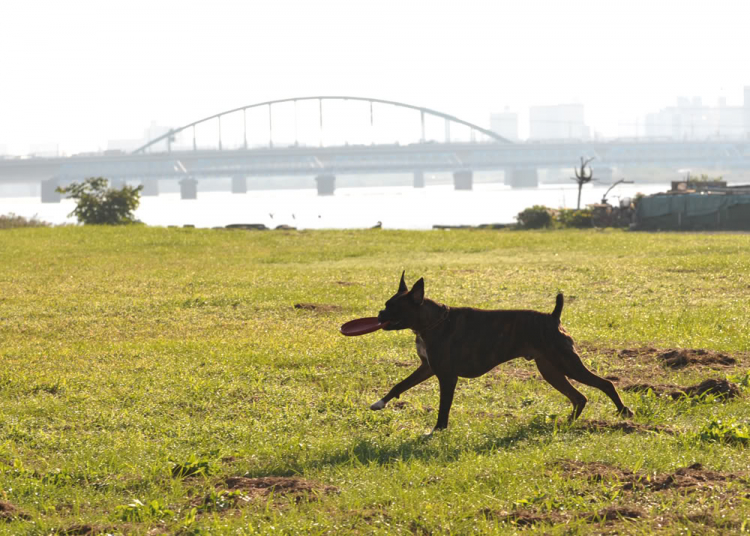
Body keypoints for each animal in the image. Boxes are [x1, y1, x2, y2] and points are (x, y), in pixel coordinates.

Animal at [370, 274, 636, 434]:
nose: (380, 314)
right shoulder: (427, 368)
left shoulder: (446, 376)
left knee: (605, 384)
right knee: (579, 397)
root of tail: (553, 317)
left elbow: (444, 405)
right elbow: (400, 385)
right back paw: (566, 423)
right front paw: (380, 403)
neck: (431, 321)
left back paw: (624, 411)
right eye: (386, 305)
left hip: (567, 364)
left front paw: (438, 430)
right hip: (550, 369)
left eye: (393, 307)